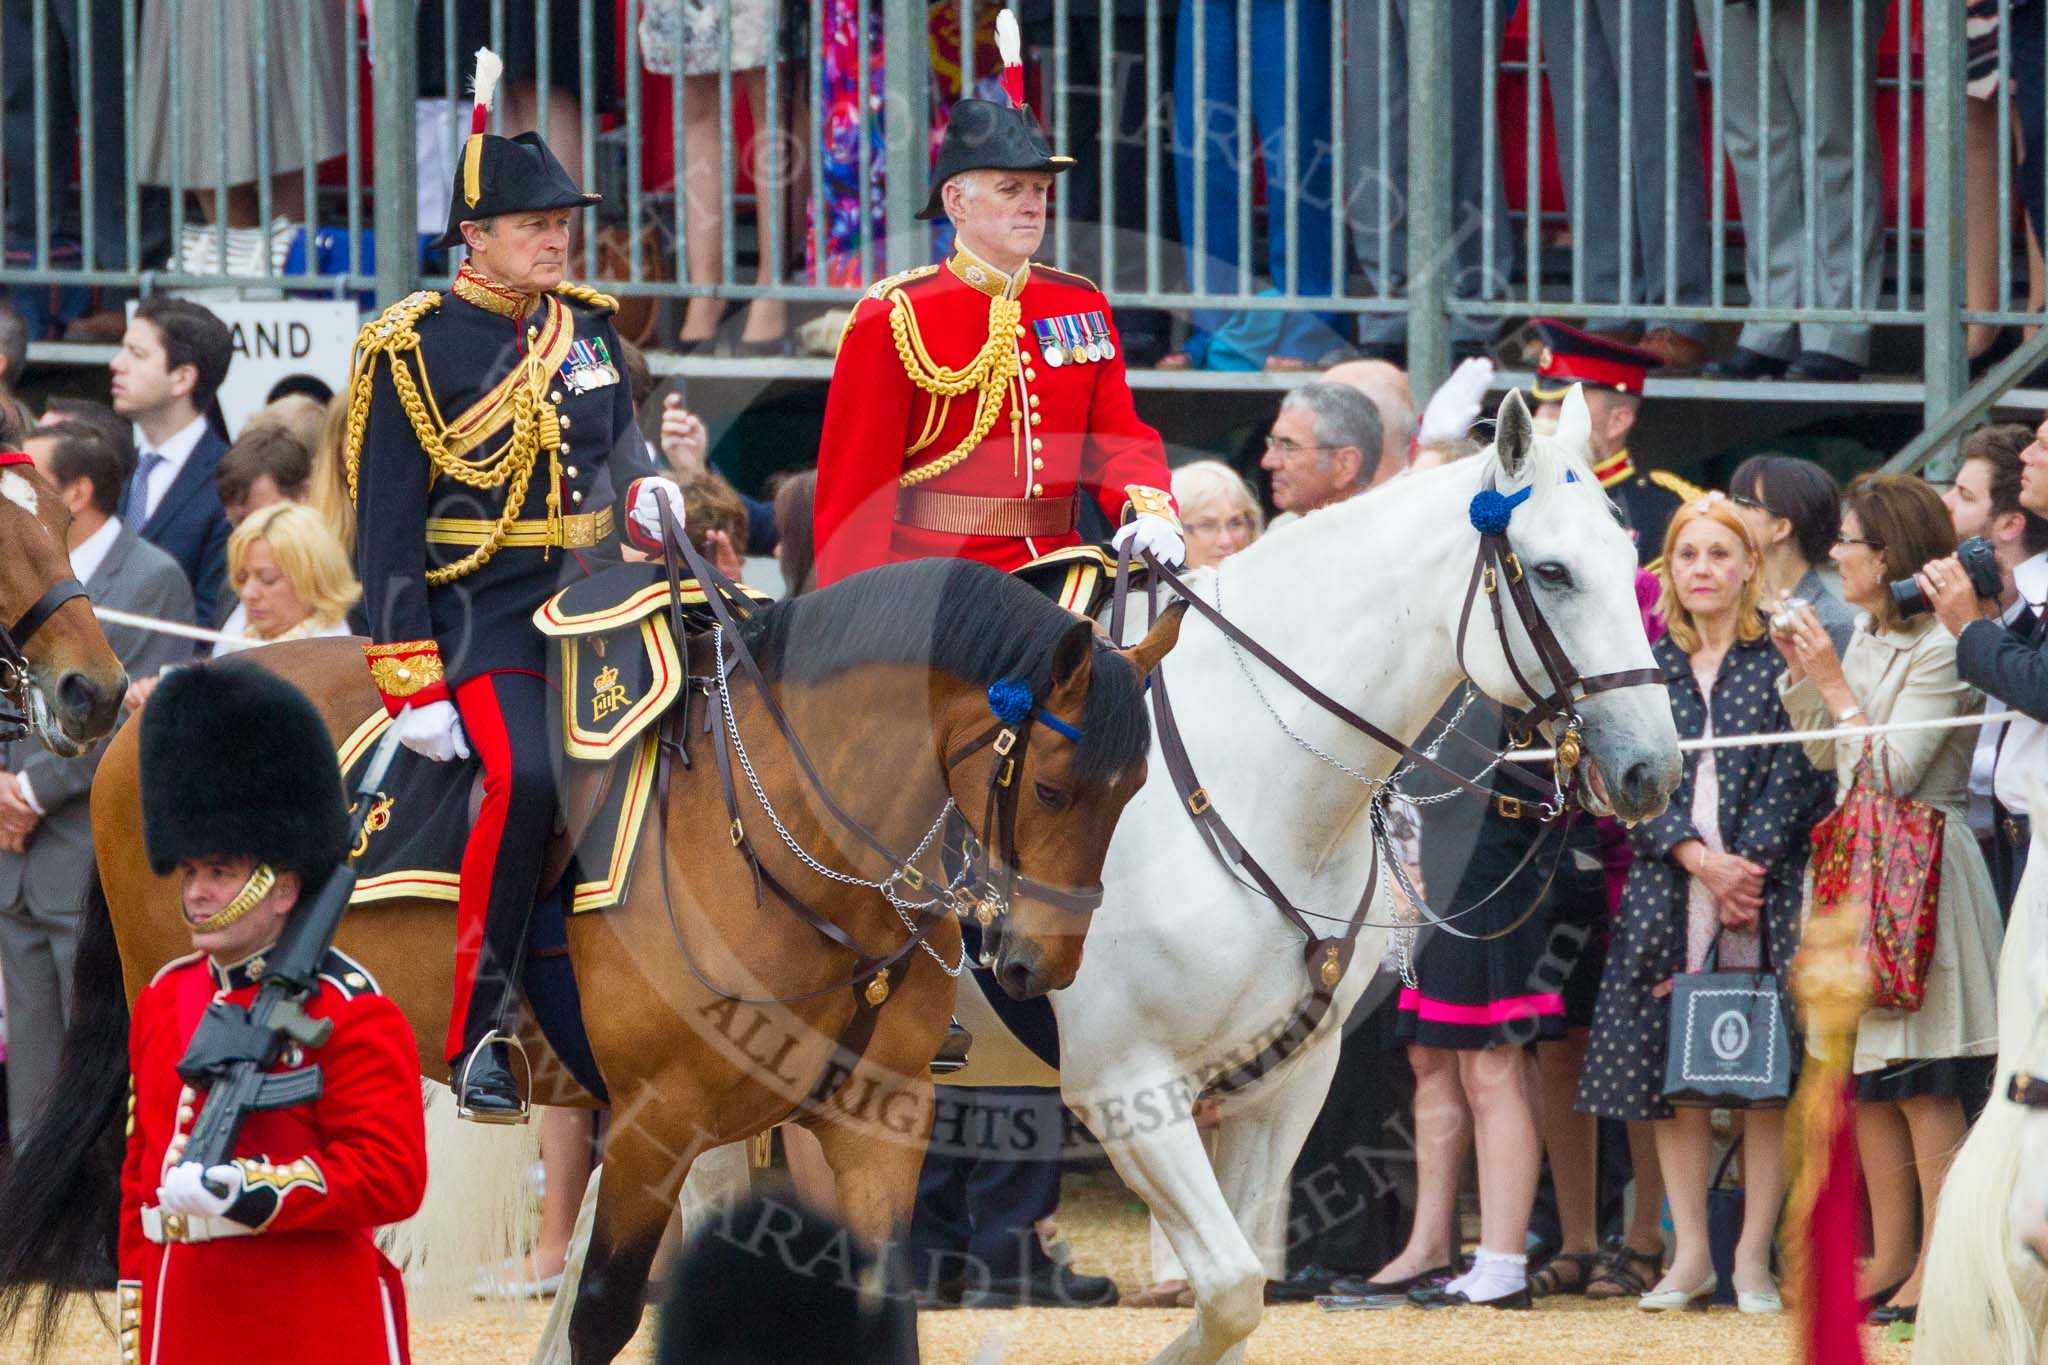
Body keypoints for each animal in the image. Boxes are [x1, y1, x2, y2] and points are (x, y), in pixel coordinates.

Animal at [0, 556, 1179, 1365]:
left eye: (1134, 790)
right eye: (1054, 786)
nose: (1034, 964)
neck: (784, 839)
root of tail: (159, 694)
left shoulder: (875, 1117)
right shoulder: (657, 1123)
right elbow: (601, 1315)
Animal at [942, 386, 1679, 1365]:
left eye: (1634, 560)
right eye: (1553, 572)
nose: (1652, 769)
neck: (1253, 781)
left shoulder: (1280, 1081)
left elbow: (1241, 1293)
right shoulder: (1125, 1083)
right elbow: (1228, 1289)